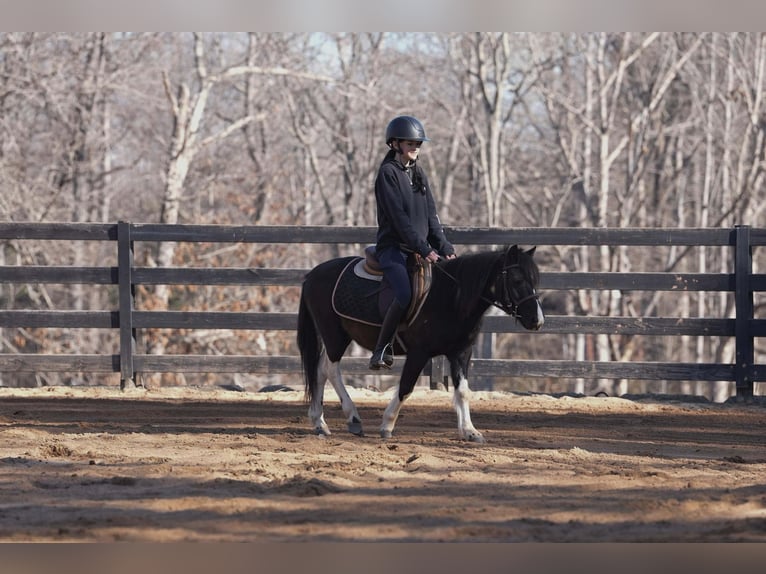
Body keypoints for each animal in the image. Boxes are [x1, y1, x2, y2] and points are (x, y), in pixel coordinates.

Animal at [296, 244, 544, 442]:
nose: (538, 320)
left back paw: (320, 423)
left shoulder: (461, 352)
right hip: (334, 335)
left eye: (535, 281)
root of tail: (313, 274)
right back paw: (353, 418)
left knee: (319, 371)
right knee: (330, 370)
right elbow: (406, 387)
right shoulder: (419, 353)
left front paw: (469, 431)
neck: (450, 297)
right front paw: (387, 425)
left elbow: (463, 391)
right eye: (517, 280)